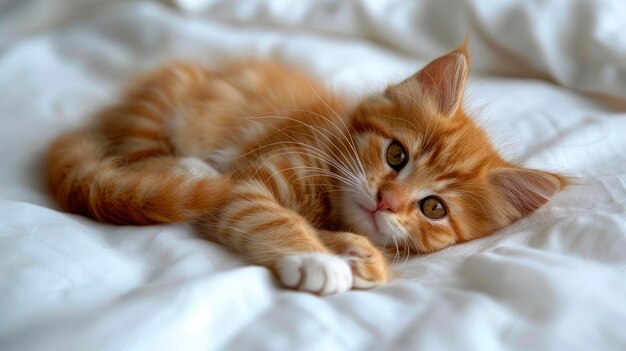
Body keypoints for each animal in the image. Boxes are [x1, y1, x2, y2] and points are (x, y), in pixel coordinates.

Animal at [47, 46, 564, 294]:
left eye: (433, 208)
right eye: (396, 155)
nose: (386, 201)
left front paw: (360, 256)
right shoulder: (249, 183)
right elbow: (273, 217)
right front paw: (317, 260)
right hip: (163, 101)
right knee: (140, 158)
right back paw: (190, 169)